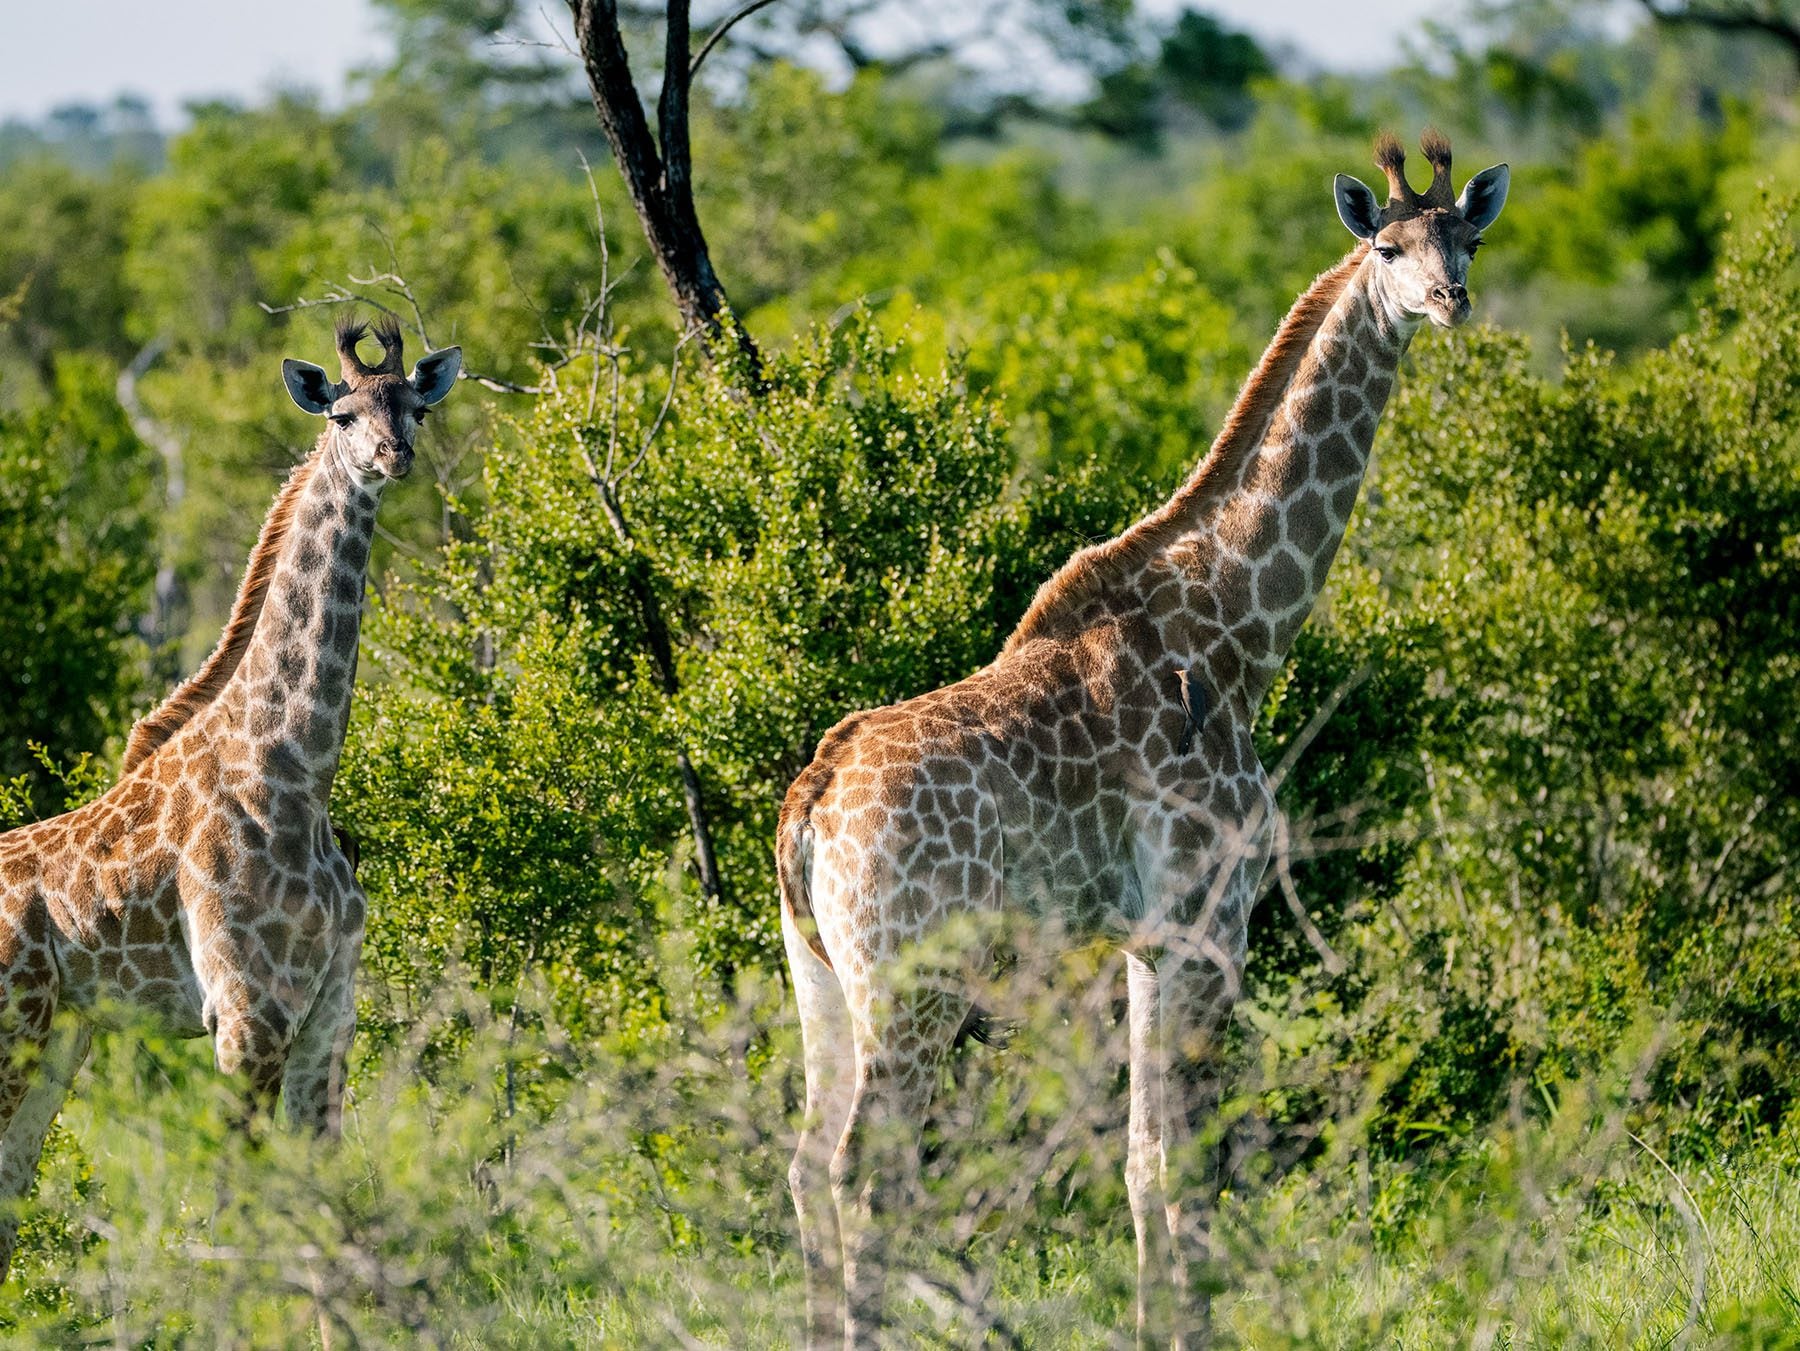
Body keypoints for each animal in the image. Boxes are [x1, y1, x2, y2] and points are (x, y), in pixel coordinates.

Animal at [0, 315, 460, 1279]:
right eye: (342, 413)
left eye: (415, 406)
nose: (393, 456)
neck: (295, 766)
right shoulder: (247, 1017)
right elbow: (237, 1212)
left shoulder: (328, 1018)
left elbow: (323, 1205)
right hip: (13, 1028)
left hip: (57, 1036)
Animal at [778, 132, 1509, 1347]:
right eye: (1388, 247)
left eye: (1468, 238)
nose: (1450, 300)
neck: (1240, 633)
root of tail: (810, 802)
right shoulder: (1211, 916)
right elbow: (1189, 1167)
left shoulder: (1144, 937)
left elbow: (1139, 1162)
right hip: (911, 981)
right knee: (860, 1171)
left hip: (819, 973)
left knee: (799, 1162)